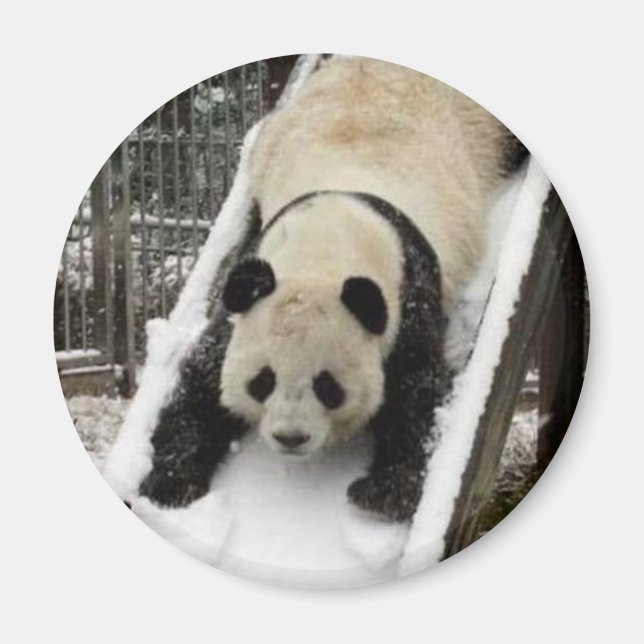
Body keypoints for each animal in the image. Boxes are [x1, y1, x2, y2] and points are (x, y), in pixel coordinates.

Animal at [138, 56, 527, 522]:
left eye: (328, 385)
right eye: (262, 381)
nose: (291, 437)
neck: (323, 251)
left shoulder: (407, 293)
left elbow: (419, 391)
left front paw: (383, 492)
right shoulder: (251, 291)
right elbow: (203, 379)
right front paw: (170, 482)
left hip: (481, 126)